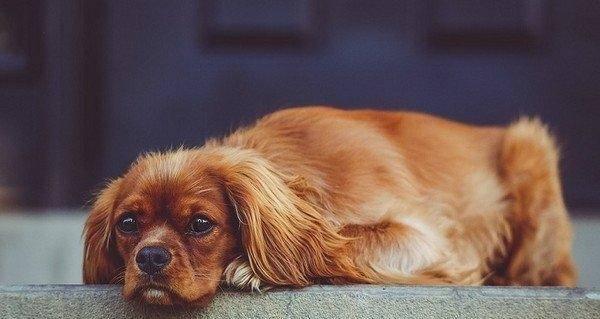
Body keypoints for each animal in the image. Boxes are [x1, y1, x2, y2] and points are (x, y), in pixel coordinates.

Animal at [83, 107, 576, 308]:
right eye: (128, 224)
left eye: (201, 224)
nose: (149, 257)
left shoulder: (429, 240)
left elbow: (347, 241)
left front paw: (249, 268)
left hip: (529, 146)